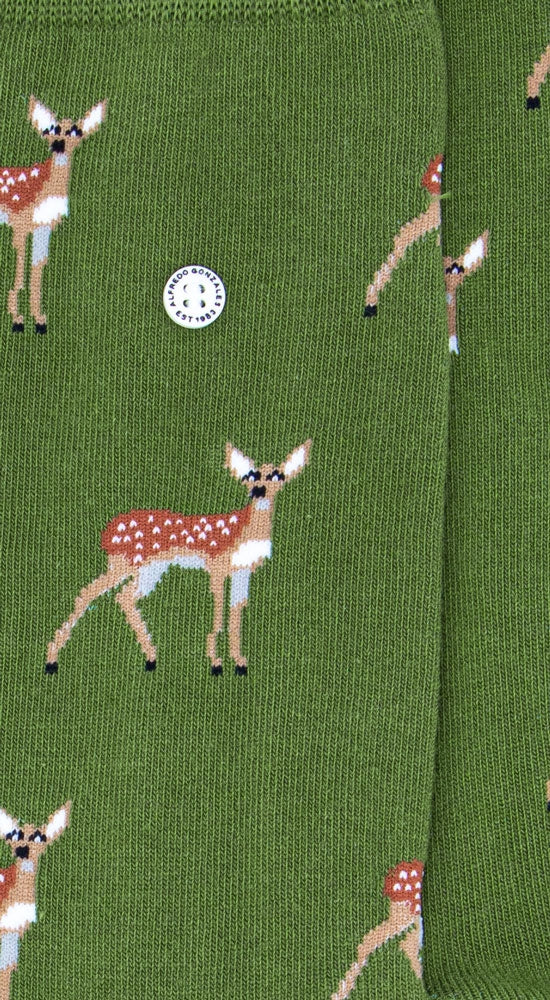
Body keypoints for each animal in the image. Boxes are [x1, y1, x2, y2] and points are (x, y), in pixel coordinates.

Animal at [0, 95, 107, 334]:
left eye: (76, 131)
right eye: (51, 129)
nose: (58, 144)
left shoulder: (44, 224)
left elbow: (38, 267)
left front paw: (39, 321)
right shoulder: (20, 220)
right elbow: (21, 267)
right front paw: (17, 320)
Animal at [46, 440, 312, 676]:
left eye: (278, 476)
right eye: (250, 476)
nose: (259, 490)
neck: (244, 531)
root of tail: (107, 534)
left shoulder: (242, 570)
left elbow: (236, 613)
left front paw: (240, 664)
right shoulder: (216, 564)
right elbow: (219, 614)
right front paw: (216, 664)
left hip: (151, 568)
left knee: (123, 597)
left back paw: (151, 658)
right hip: (127, 561)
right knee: (88, 593)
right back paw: (51, 660)